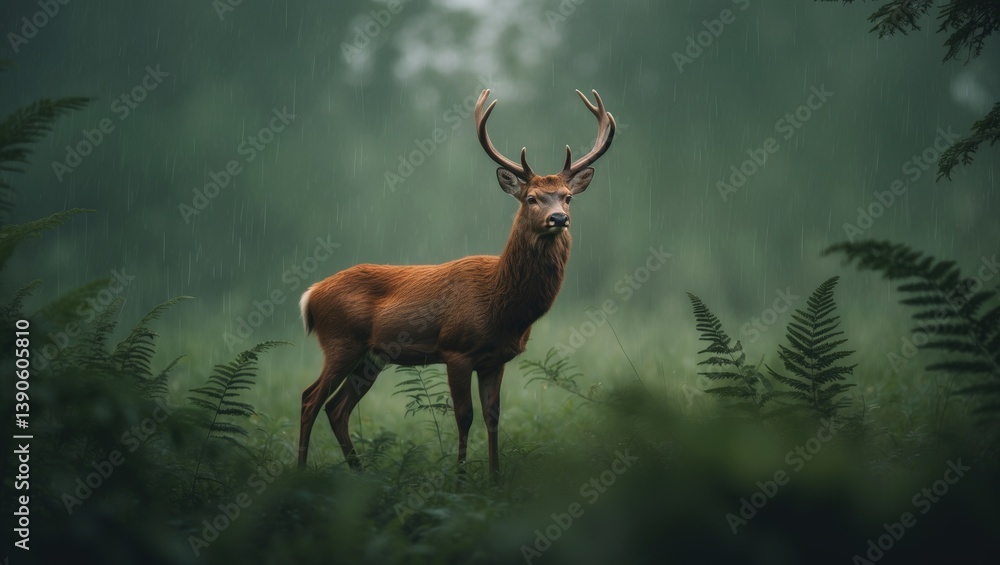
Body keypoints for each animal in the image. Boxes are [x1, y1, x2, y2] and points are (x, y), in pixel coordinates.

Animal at [297, 88, 615, 480]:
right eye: (531, 198)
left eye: (567, 197)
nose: (559, 218)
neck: (501, 303)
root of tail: (310, 296)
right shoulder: (456, 349)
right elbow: (464, 417)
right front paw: (461, 479)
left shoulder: (495, 358)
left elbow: (493, 417)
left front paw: (494, 479)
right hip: (341, 341)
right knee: (310, 399)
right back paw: (300, 472)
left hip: (372, 356)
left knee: (337, 408)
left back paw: (359, 473)